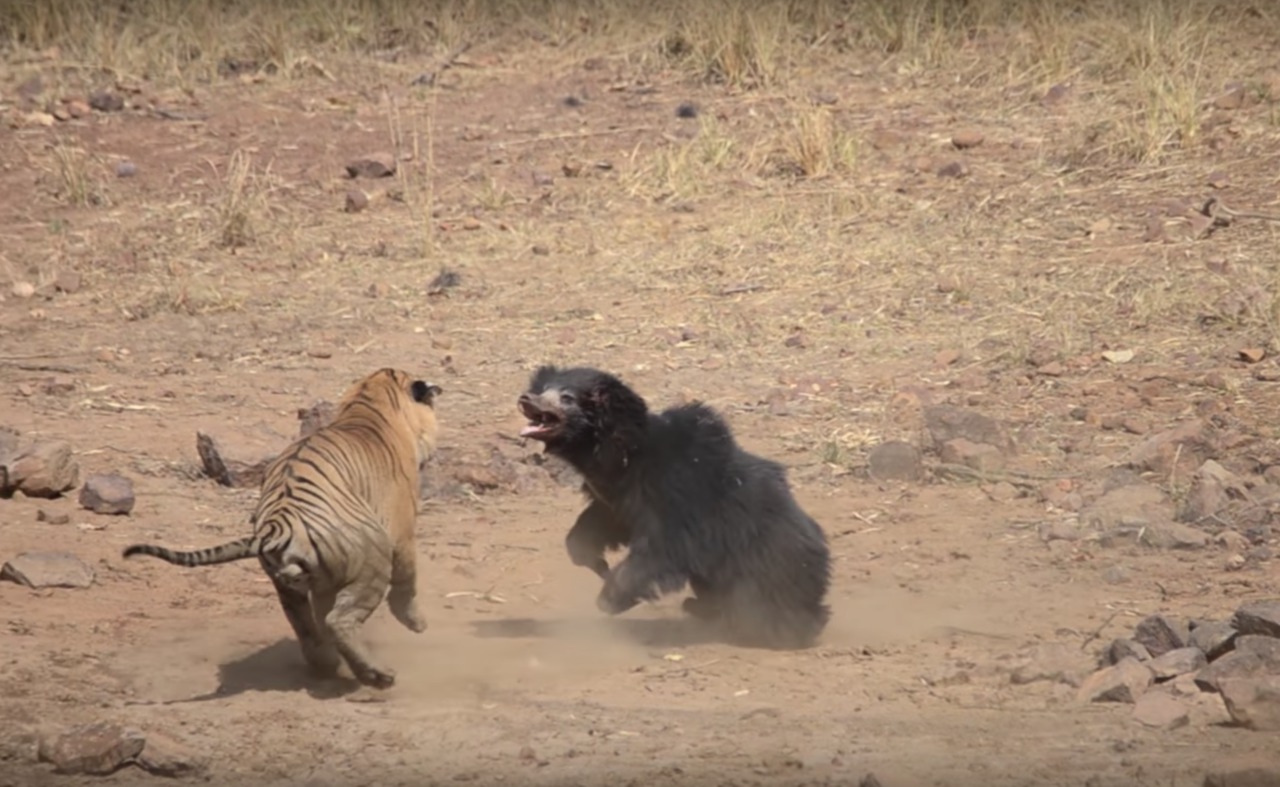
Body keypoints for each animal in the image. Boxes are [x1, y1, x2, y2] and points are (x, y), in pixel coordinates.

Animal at [123, 368, 445, 691]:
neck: (369, 401)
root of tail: (278, 525)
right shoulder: (402, 533)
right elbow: (407, 581)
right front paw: (416, 623)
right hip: (373, 558)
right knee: (338, 620)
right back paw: (377, 675)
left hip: (290, 587)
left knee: (310, 627)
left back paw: (327, 666)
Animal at [514, 365, 834, 650]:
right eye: (542, 389)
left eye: (566, 397)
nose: (526, 399)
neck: (623, 454)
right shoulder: (619, 498)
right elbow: (600, 525)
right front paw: (594, 561)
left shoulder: (678, 496)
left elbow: (663, 550)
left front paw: (609, 596)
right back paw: (700, 607)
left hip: (770, 567)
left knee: (761, 606)